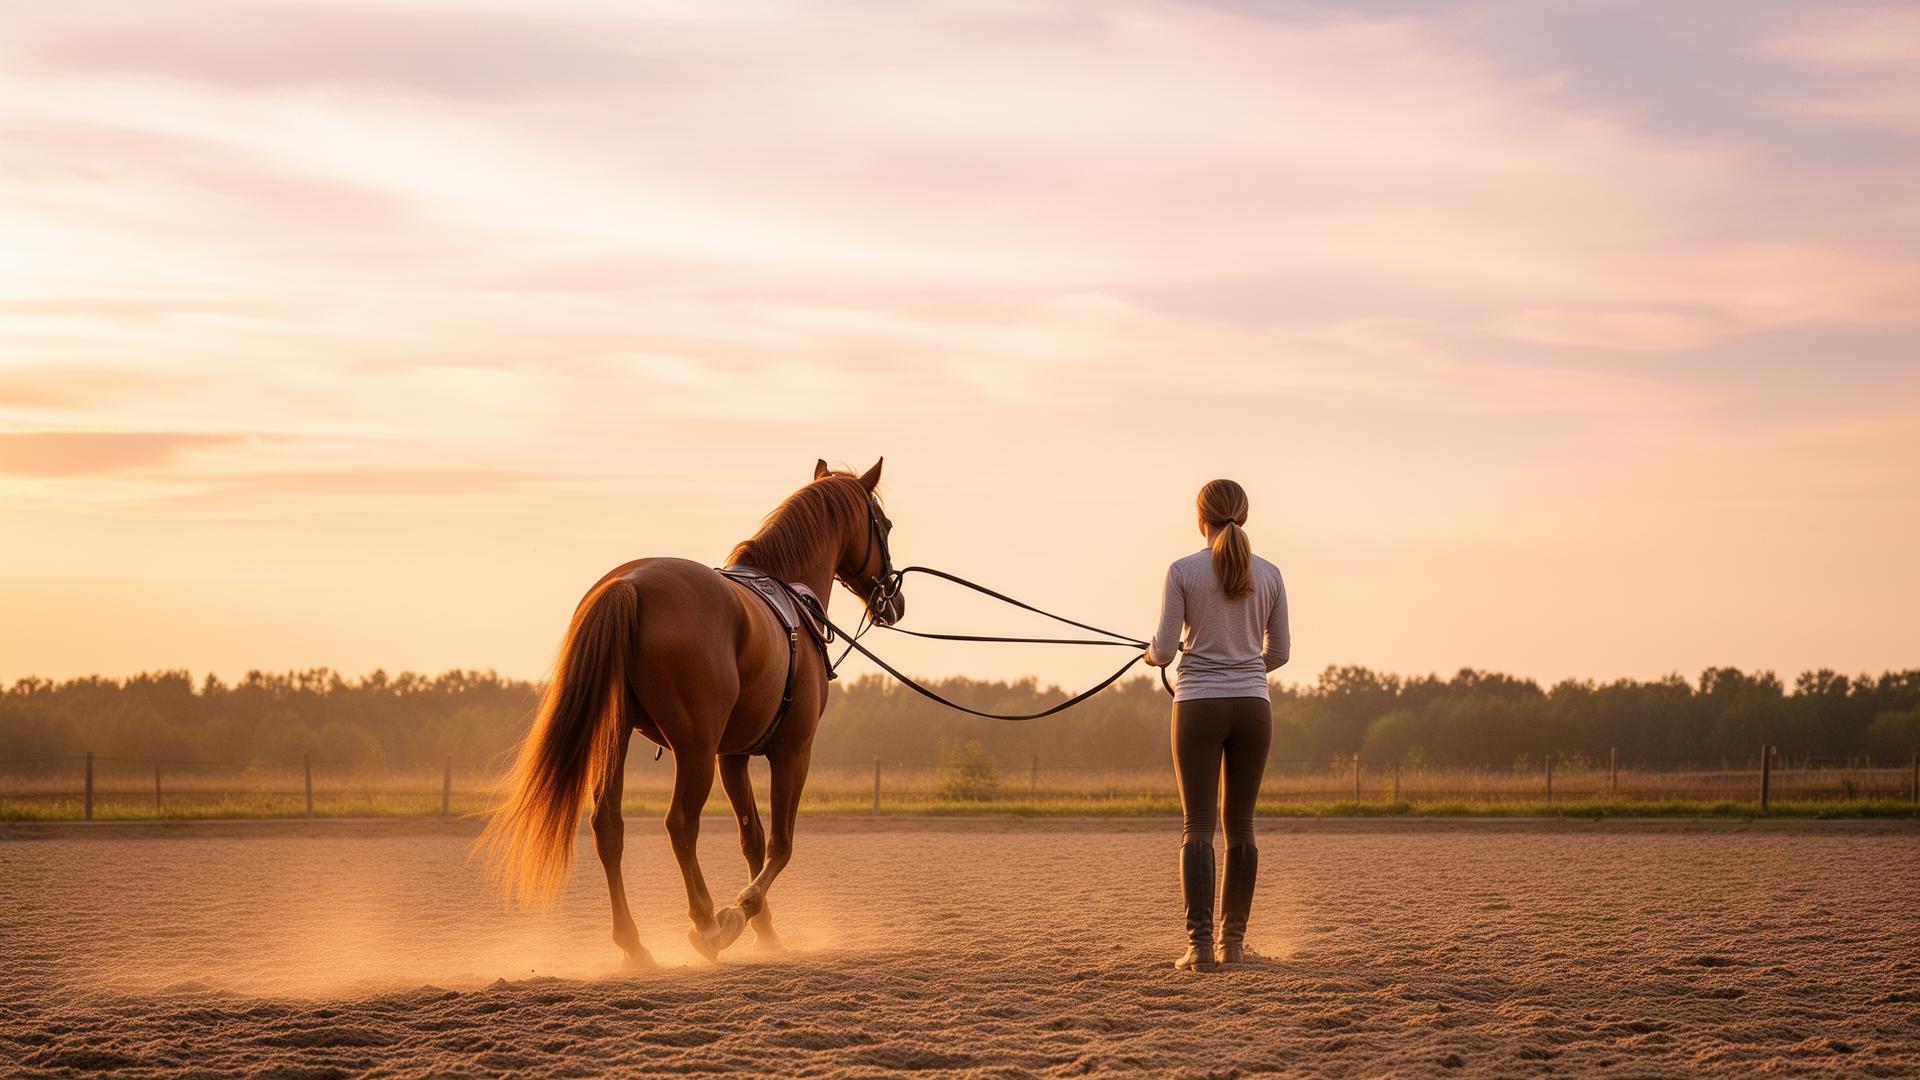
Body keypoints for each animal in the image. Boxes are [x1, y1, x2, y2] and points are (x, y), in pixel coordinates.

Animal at [478, 458, 903, 965]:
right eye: (886, 525)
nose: (894, 600)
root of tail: (629, 586)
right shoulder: (792, 752)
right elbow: (780, 844)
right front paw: (738, 913)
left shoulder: (733, 756)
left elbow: (751, 839)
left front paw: (765, 932)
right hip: (694, 749)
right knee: (680, 824)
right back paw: (705, 923)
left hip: (620, 742)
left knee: (609, 829)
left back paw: (634, 944)